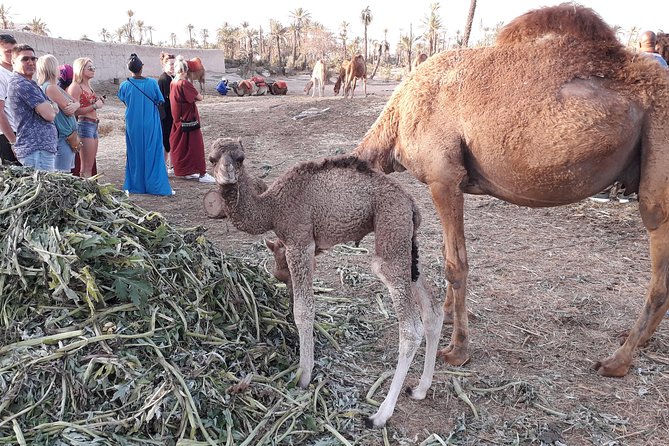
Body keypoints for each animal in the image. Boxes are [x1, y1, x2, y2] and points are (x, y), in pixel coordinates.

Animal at [209, 137, 444, 428]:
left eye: (240, 158)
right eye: (211, 159)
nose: (227, 175)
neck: (273, 207)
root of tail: (411, 204)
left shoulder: (299, 241)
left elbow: (303, 310)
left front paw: (303, 376)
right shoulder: (308, 250)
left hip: (391, 230)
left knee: (411, 326)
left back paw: (380, 414)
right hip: (405, 244)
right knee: (432, 310)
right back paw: (420, 388)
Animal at [353, 4, 669, 378]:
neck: (399, 117)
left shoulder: (444, 178)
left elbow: (455, 263)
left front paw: (457, 350)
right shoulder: (446, 182)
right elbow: (447, 254)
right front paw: (446, 315)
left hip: (658, 169)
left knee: (659, 267)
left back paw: (618, 360)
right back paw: (639, 341)